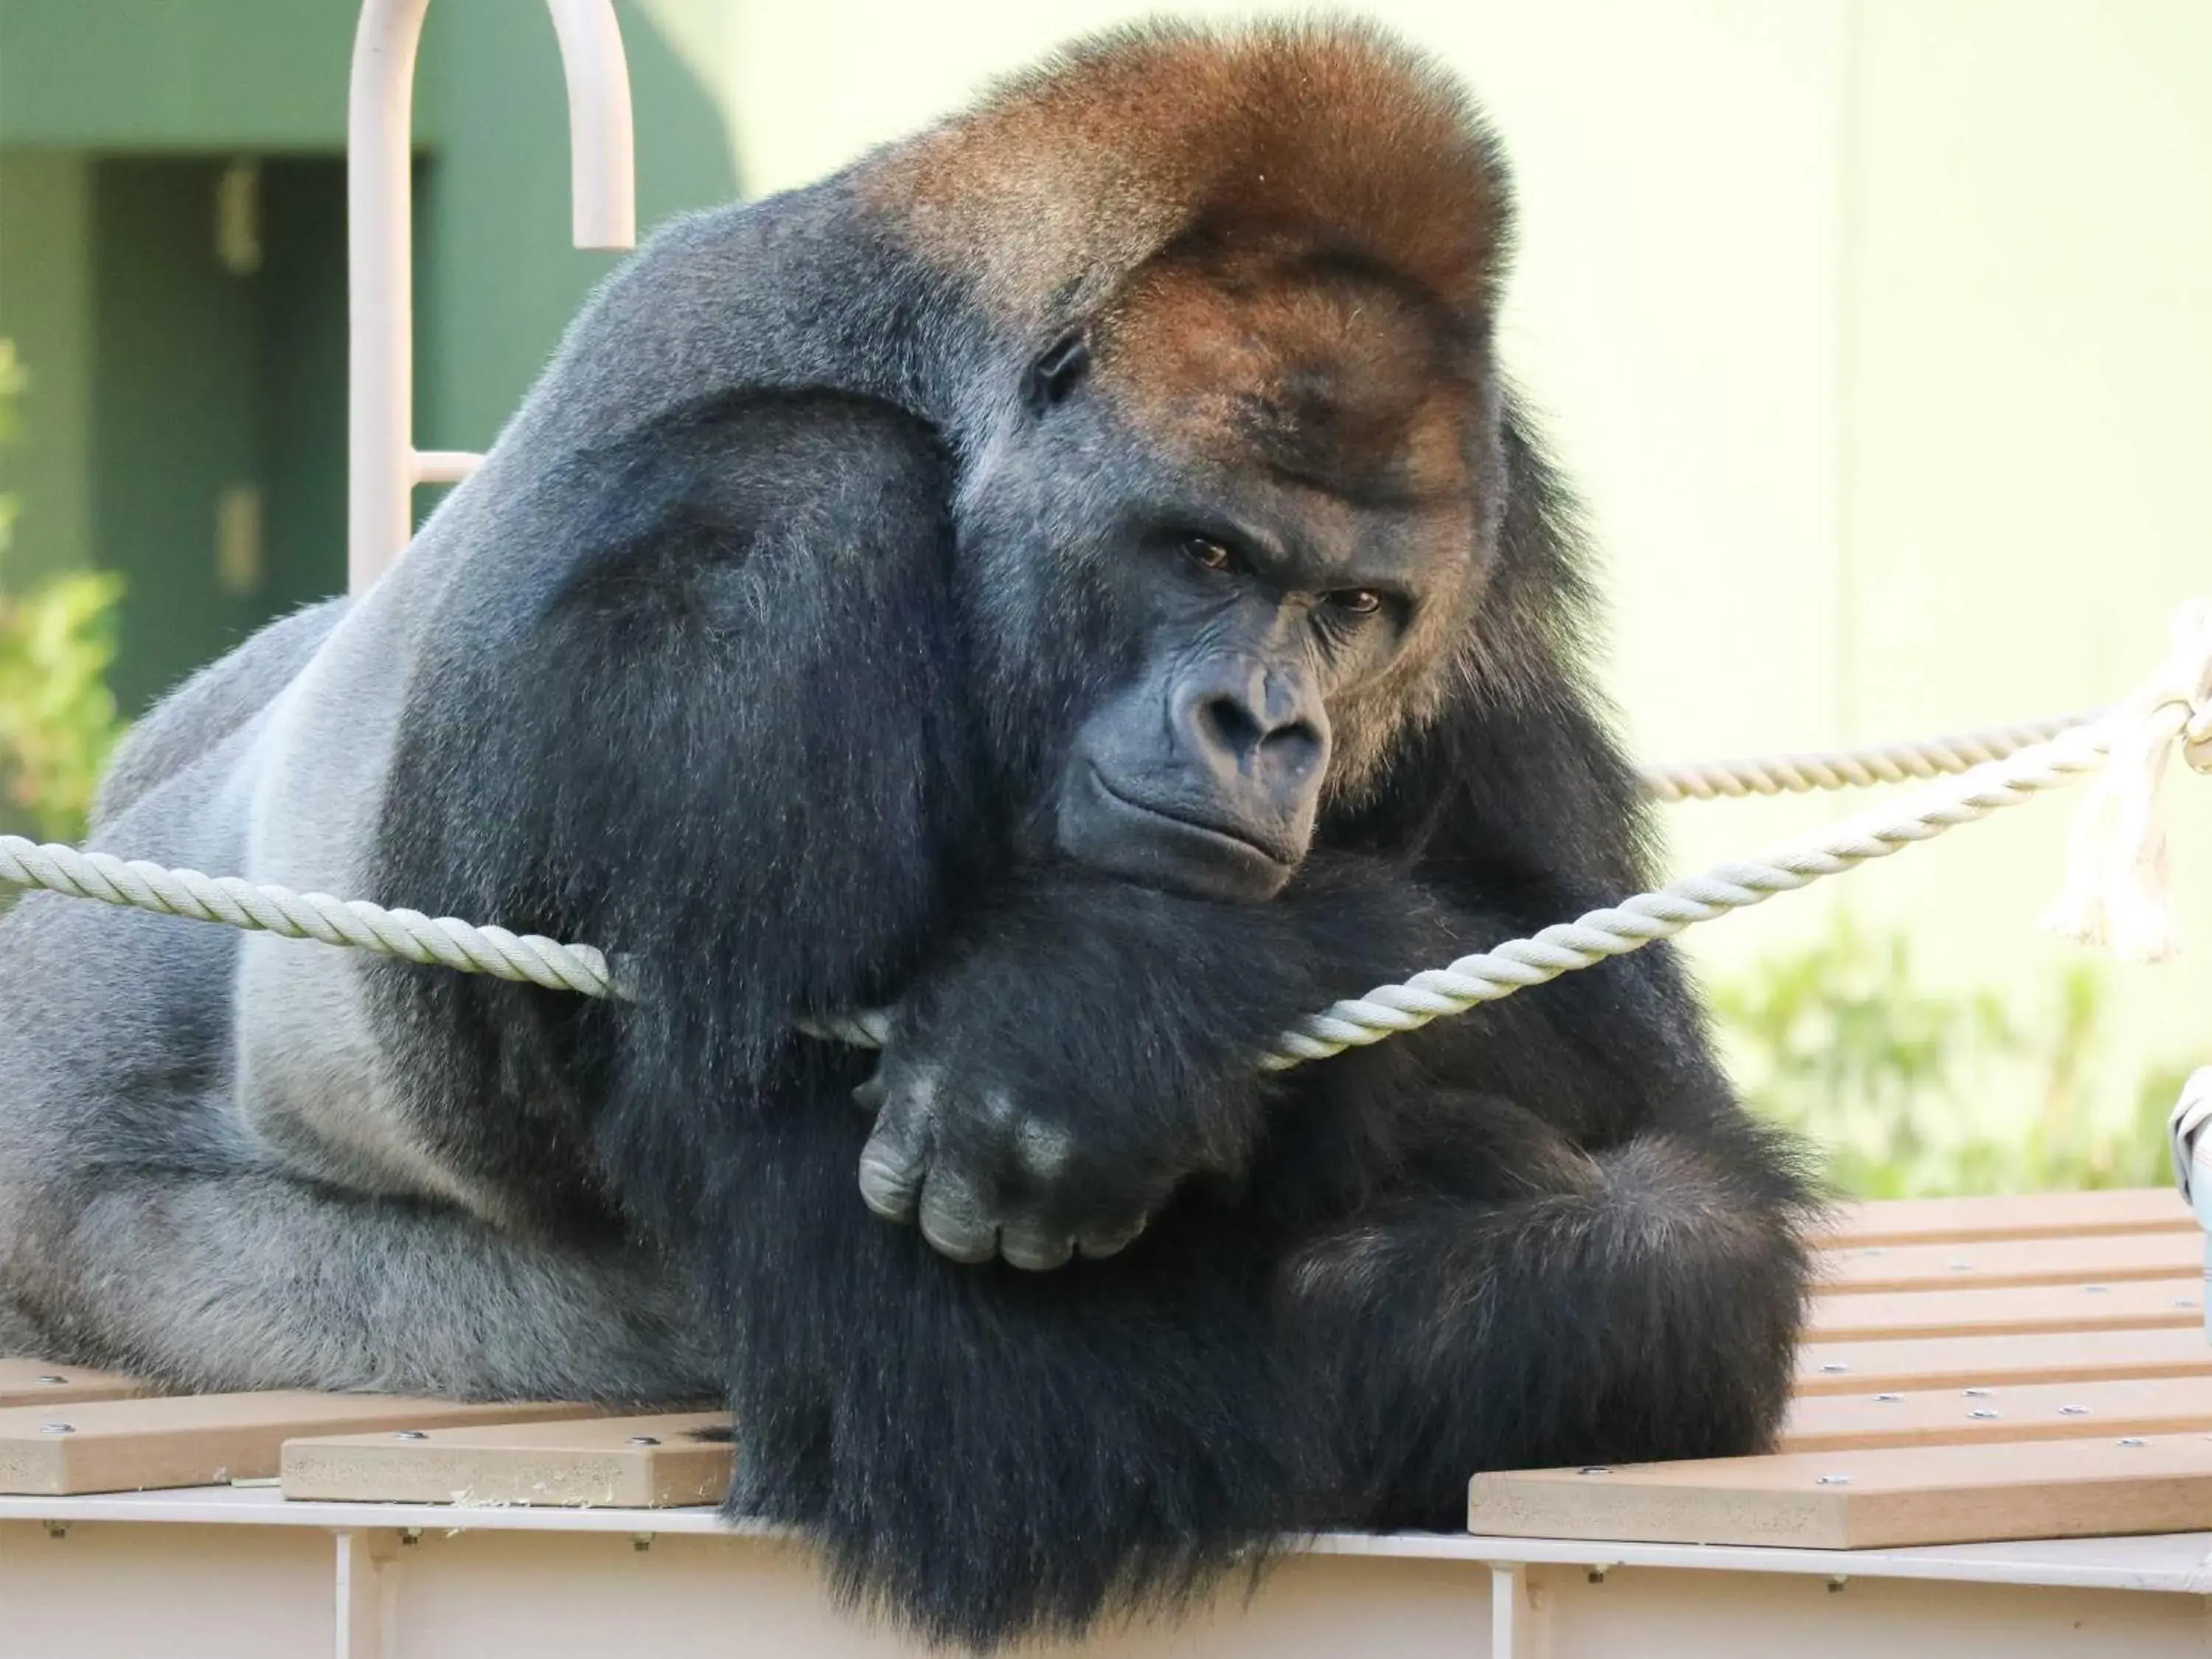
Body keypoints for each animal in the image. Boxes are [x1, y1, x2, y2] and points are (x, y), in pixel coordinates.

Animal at [0, 22, 1814, 1655]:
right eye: (1208, 554)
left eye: (1358, 608)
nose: (1267, 727)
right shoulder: (759, 563)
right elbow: (981, 1402)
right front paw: (1113, 1005)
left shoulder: (1497, 541)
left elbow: (1624, 1069)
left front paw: (1113, 1014)